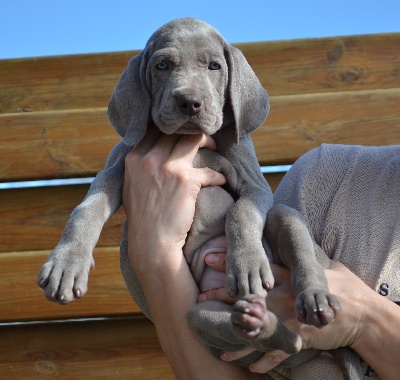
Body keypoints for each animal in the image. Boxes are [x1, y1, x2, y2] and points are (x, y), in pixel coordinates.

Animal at [37, 15, 342, 378]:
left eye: (214, 66)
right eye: (162, 65)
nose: (190, 102)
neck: (187, 141)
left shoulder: (255, 185)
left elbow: (241, 213)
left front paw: (247, 264)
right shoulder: (115, 169)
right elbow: (86, 210)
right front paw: (66, 264)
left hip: (285, 220)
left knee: (296, 244)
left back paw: (315, 300)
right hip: (201, 315)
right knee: (266, 335)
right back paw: (259, 322)